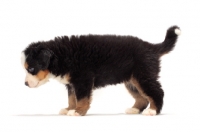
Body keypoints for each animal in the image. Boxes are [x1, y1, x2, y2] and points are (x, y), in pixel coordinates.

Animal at [21, 25, 180, 115]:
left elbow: (82, 98)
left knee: (156, 92)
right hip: (132, 80)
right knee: (141, 97)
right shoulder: (72, 84)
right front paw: (69, 109)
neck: (62, 56)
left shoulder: (83, 80)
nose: (25, 84)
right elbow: (72, 98)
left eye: (31, 68)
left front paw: (78, 112)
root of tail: (152, 47)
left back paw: (153, 111)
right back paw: (134, 110)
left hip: (143, 76)